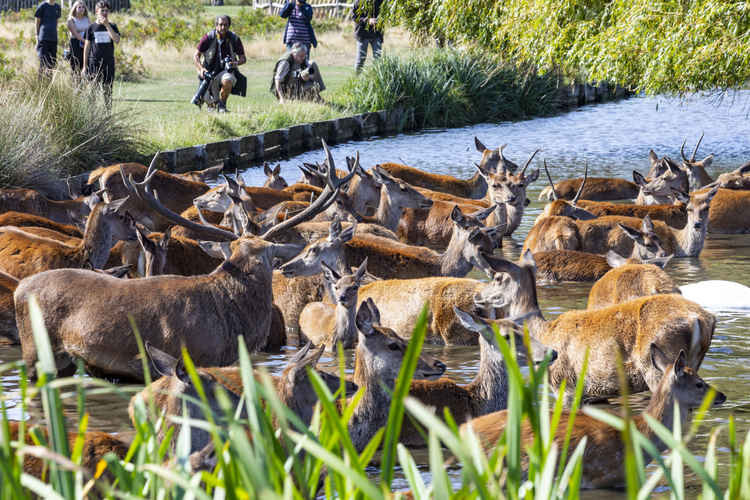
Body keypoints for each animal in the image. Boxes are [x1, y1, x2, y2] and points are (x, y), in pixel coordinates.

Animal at [476, 252, 716, 400]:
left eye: (497, 277)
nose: (478, 296)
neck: (544, 331)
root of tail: (698, 320)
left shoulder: (564, 384)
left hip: (657, 366)